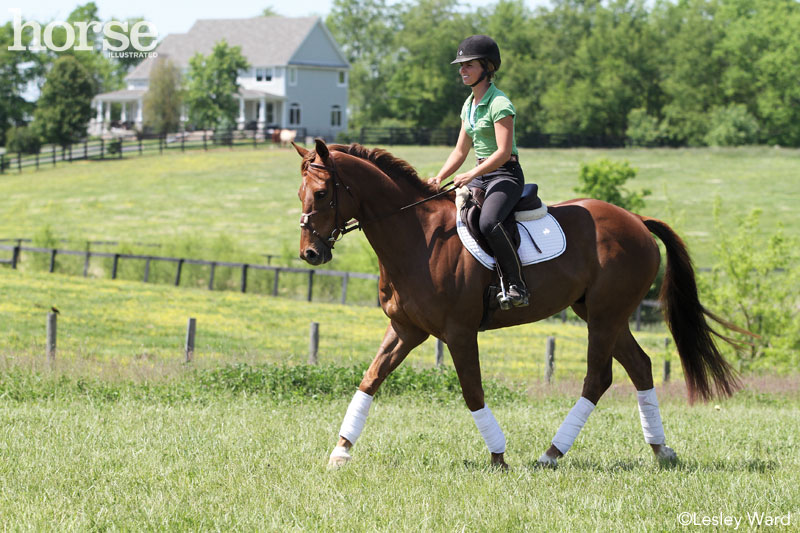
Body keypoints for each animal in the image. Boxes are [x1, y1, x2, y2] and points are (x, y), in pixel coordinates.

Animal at [292, 139, 744, 468]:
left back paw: (552, 454)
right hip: (601, 314)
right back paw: (660, 450)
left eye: (322, 192)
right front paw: (340, 451)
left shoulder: (458, 332)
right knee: (640, 366)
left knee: (598, 379)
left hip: (604, 316)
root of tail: (636, 220)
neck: (418, 237)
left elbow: (472, 391)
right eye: (300, 194)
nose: (310, 254)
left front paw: (498, 456)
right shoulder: (407, 329)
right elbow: (370, 379)